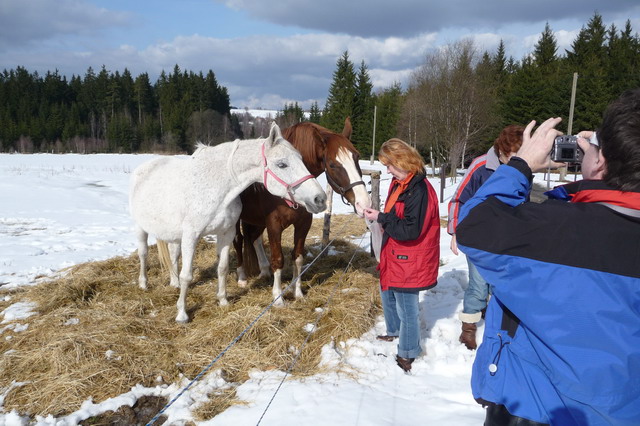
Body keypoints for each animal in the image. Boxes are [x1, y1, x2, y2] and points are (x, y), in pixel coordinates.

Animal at [132, 121, 328, 322]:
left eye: (301, 159)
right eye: (282, 164)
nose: (320, 199)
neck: (215, 188)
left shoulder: (225, 233)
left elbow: (223, 268)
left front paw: (223, 300)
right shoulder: (191, 236)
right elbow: (187, 275)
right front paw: (182, 314)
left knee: (173, 254)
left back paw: (174, 283)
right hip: (140, 227)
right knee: (143, 254)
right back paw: (144, 284)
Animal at [234, 118, 370, 304]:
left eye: (357, 157)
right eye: (332, 164)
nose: (364, 203)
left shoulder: (303, 224)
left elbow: (298, 258)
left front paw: (297, 293)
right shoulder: (273, 224)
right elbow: (278, 259)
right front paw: (278, 298)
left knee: (254, 239)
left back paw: (264, 270)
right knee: (238, 241)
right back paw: (242, 278)